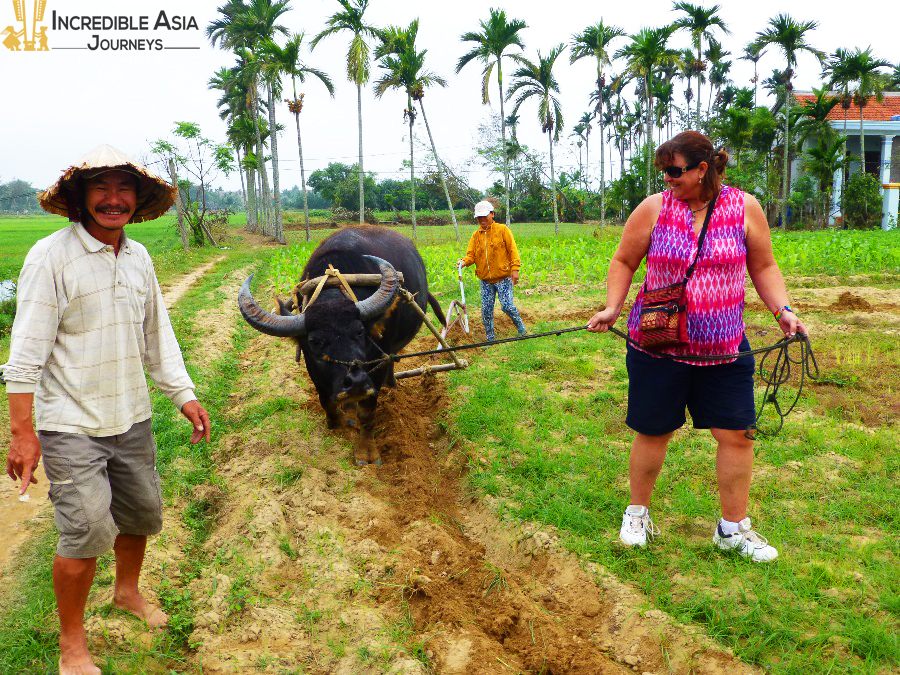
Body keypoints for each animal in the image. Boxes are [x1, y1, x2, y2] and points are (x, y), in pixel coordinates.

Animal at [237, 227, 444, 464]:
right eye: (314, 342)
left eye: (360, 332)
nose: (356, 383)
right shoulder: (315, 370)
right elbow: (326, 401)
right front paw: (335, 426)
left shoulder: (375, 370)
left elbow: (367, 411)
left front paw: (366, 452)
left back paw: (390, 385)